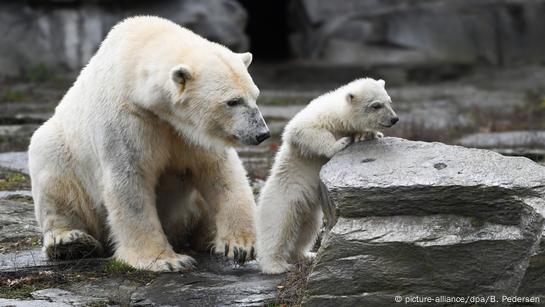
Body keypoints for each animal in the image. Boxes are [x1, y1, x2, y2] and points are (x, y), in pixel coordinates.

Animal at [27, 16, 270, 272]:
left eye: (255, 95)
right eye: (232, 101)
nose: (262, 133)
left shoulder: (190, 132)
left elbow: (220, 171)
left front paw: (241, 246)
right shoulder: (127, 119)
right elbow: (131, 182)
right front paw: (166, 260)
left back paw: (209, 238)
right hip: (62, 151)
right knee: (55, 180)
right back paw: (71, 242)